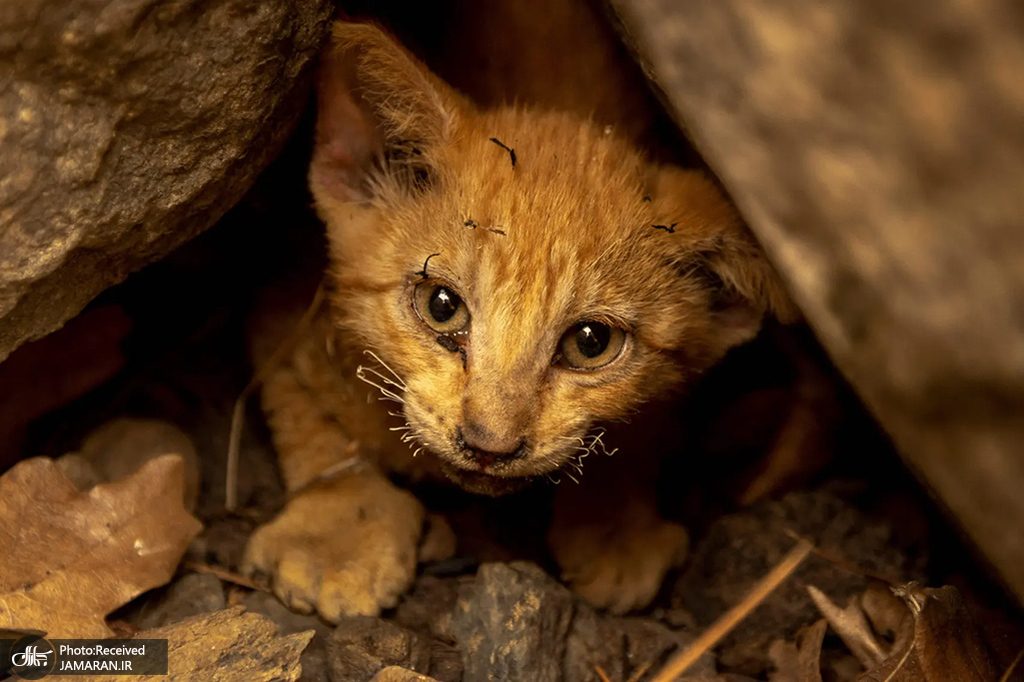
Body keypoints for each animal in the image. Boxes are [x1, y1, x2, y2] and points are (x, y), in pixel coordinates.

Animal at [243, 18, 794, 618]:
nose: (489, 446)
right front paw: (338, 531)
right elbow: (308, 419)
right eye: (442, 307)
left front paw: (614, 524)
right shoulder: (284, 302)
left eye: (591, 342)